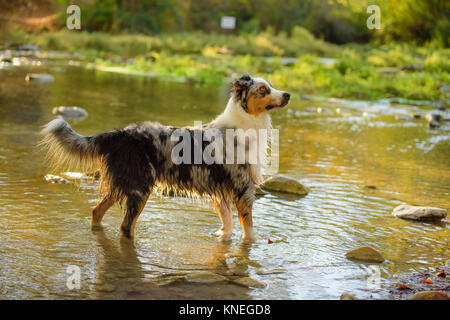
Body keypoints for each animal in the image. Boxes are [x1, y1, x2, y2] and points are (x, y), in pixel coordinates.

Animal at [39, 74, 292, 240]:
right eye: (263, 90)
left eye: (272, 86)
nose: (288, 94)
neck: (242, 125)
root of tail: (120, 133)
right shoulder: (243, 190)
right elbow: (248, 233)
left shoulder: (221, 192)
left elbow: (228, 226)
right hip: (141, 189)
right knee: (125, 228)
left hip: (127, 184)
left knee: (96, 212)